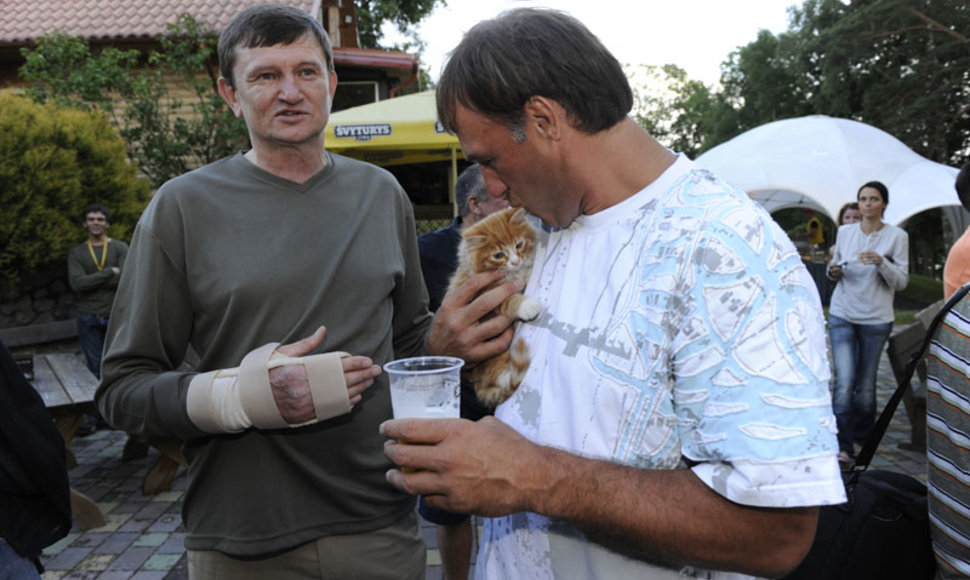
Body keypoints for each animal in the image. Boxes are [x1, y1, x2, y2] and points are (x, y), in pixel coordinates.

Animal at [450, 207, 540, 404]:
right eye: (498, 255)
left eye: (519, 245)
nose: (516, 261)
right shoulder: (483, 295)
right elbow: (509, 300)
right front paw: (527, 306)